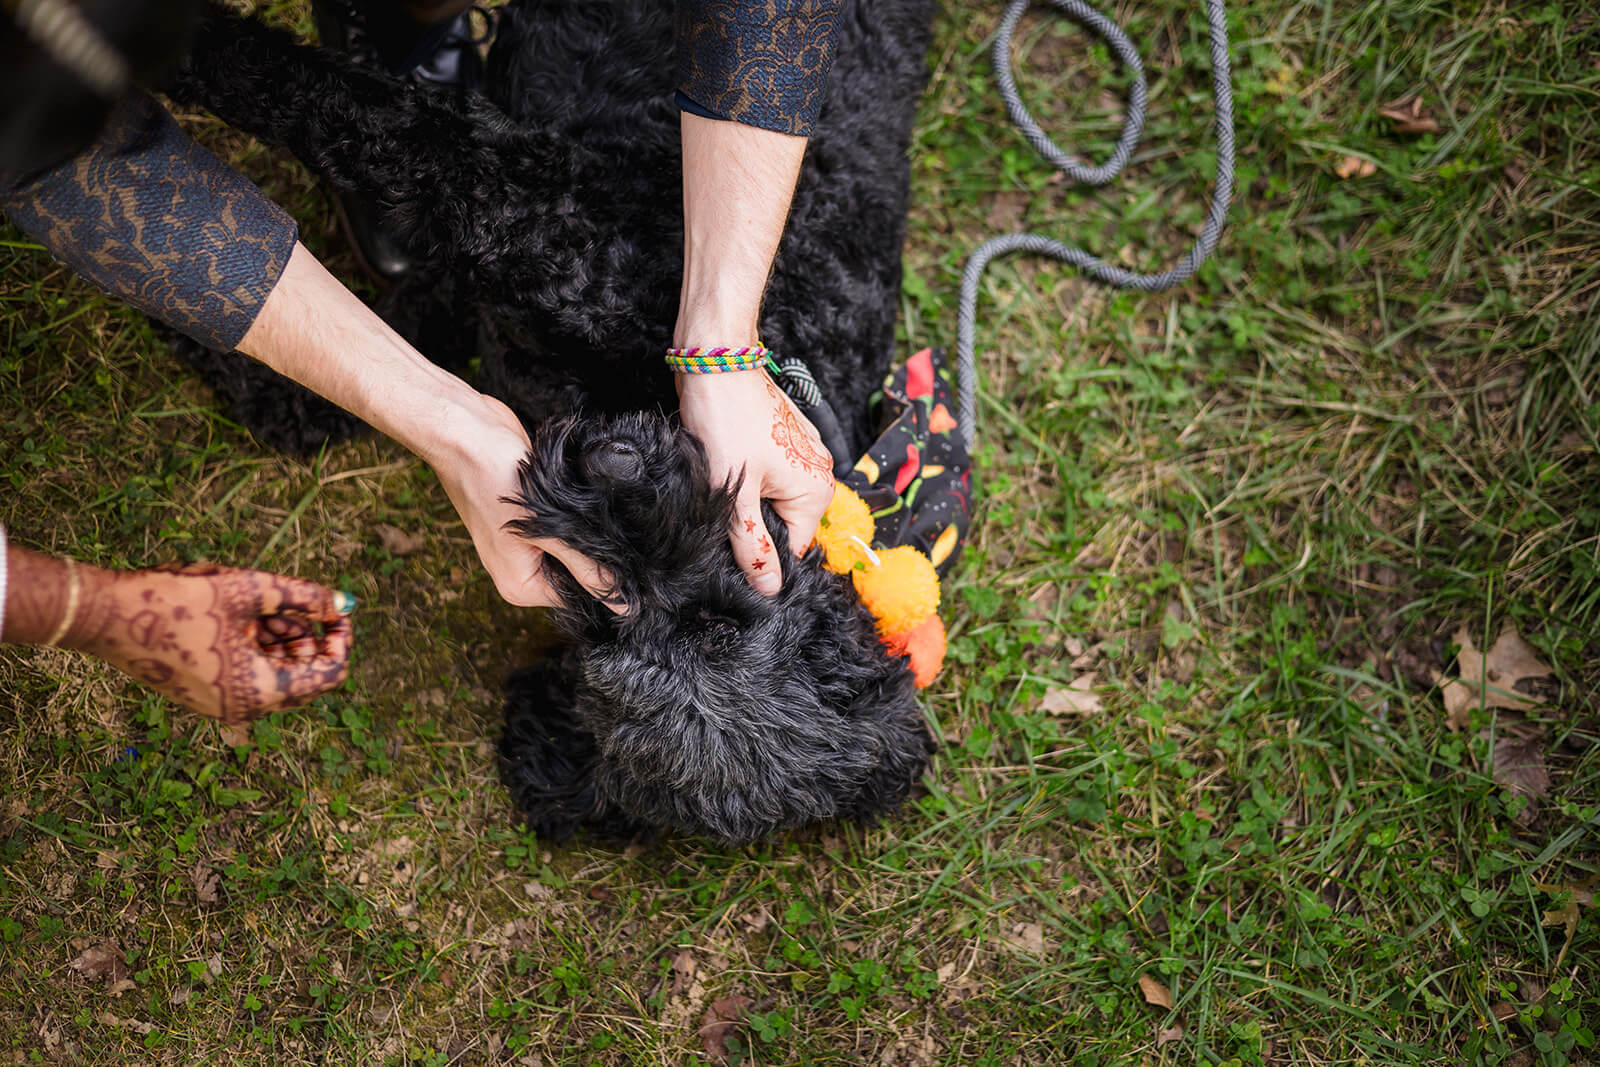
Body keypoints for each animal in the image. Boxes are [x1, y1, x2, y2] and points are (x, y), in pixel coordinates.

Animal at [165, 0, 934, 844]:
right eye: (722, 625)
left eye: (606, 624)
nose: (612, 476)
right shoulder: (541, 222)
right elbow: (378, 128)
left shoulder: (528, 223)